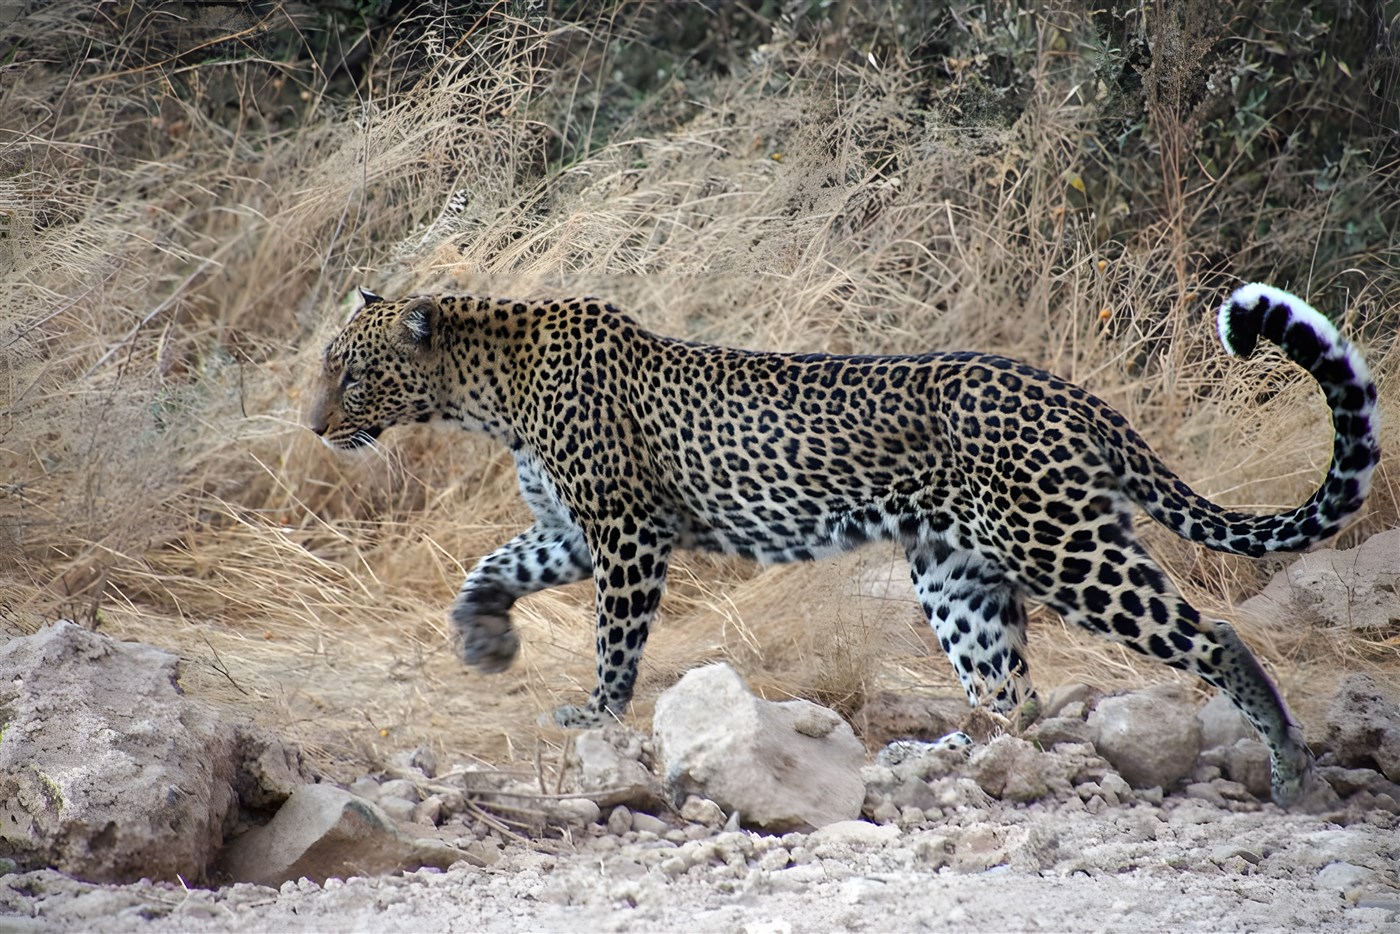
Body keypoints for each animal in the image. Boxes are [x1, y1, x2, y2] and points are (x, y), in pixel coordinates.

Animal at [308, 283, 1380, 807]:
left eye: (350, 377)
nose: (314, 426)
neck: (486, 387)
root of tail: (1075, 397)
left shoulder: (624, 533)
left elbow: (617, 639)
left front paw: (599, 716)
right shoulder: (574, 531)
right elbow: (492, 565)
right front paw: (483, 638)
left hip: (1062, 545)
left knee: (1211, 638)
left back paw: (1289, 768)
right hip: (956, 571)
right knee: (1012, 697)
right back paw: (938, 757)